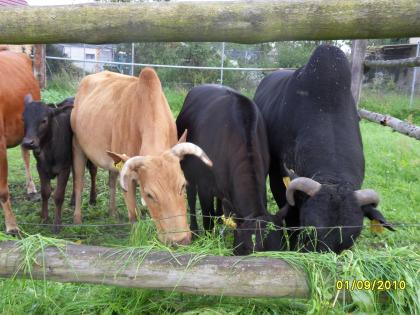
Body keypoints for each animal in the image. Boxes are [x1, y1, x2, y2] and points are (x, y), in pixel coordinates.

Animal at [22, 95, 97, 233]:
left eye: (44, 120)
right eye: (23, 119)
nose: (28, 143)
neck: (49, 149)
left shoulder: (63, 169)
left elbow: (58, 195)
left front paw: (57, 224)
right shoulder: (41, 167)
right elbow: (45, 192)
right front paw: (44, 218)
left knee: (93, 171)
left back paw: (93, 198)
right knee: (76, 176)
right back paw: (73, 200)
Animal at [71, 68, 213, 247]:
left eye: (182, 186)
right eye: (149, 194)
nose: (179, 241)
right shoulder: (128, 179)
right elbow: (134, 216)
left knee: (111, 181)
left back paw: (112, 212)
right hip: (77, 148)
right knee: (79, 183)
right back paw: (77, 219)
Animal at [176, 85, 284, 256]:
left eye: (282, 248)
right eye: (248, 249)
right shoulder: (204, 186)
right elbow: (207, 218)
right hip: (188, 168)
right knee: (191, 197)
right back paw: (194, 230)